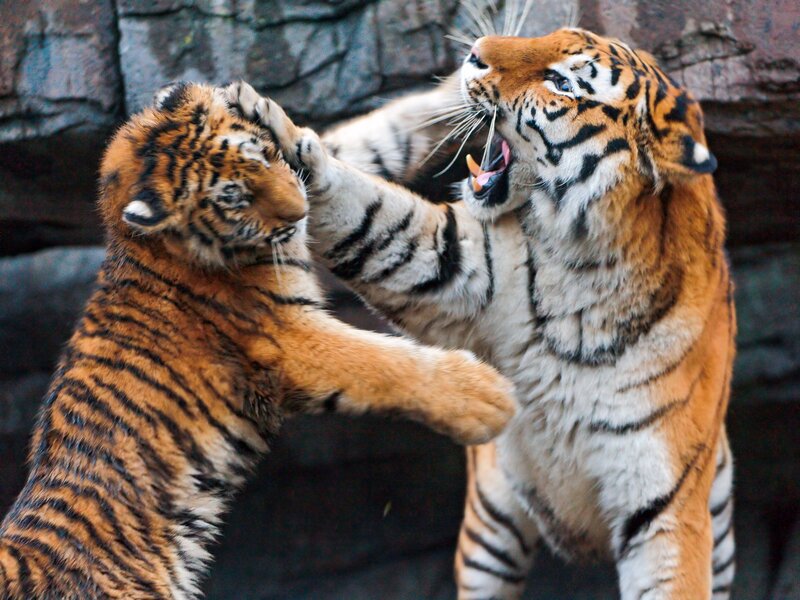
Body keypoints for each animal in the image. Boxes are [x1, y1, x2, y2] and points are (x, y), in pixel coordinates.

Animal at [0, 82, 518, 599]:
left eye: (263, 154)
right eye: (234, 199)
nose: (300, 209)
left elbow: (379, 134)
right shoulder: (288, 336)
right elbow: (383, 363)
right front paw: (487, 399)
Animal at [226, 24, 736, 600]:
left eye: (561, 81)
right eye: (552, 35)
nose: (473, 54)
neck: (584, 261)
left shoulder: (666, 509)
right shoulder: (454, 262)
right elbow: (371, 213)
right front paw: (273, 126)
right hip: (491, 526)